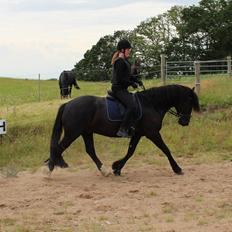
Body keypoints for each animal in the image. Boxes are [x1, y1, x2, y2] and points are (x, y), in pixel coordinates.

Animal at [46, 84, 199, 176]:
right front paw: (177, 168)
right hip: (73, 133)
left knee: (89, 151)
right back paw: (49, 170)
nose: (185, 121)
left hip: (86, 132)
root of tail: (67, 104)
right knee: (58, 148)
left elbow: (130, 151)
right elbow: (165, 149)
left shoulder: (138, 134)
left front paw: (117, 168)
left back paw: (104, 170)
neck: (150, 104)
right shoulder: (152, 133)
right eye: (189, 101)